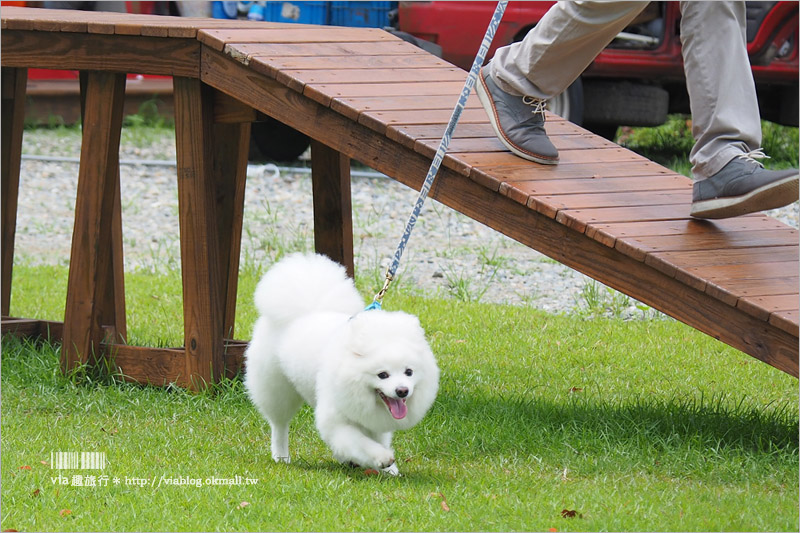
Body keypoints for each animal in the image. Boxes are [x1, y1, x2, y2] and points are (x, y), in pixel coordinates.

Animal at [244, 254, 440, 474]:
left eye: (409, 372)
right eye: (383, 374)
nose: (402, 391)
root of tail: (304, 311)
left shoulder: (373, 422)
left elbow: (378, 439)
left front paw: (390, 470)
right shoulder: (335, 421)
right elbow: (359, 442)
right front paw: (382, 458)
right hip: (276, 389)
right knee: (279, 424)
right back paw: (281, 456)